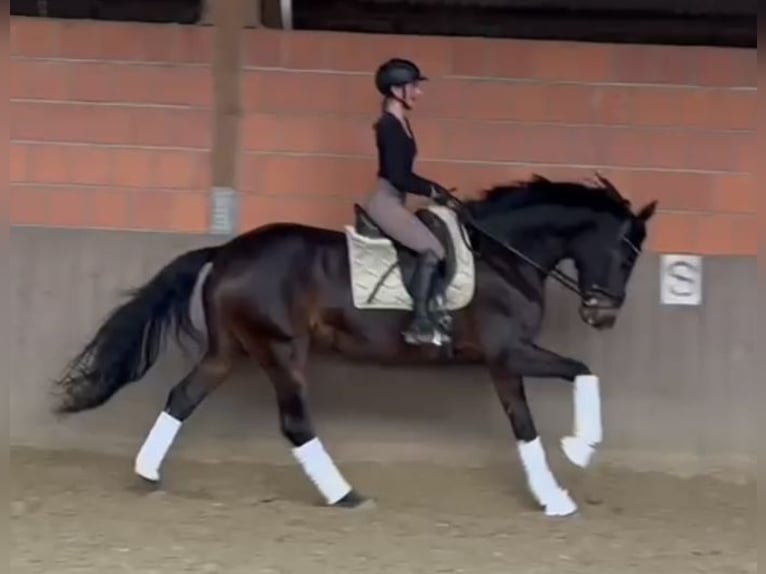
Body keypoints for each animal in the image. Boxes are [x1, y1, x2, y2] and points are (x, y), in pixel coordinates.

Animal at [51, 173, 656, 520]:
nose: (602, 314)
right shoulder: (507, 354)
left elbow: (544, 408)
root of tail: (225, 252)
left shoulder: (506, 360)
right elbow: (567, 384)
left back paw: (149, 475)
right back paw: (345, 495)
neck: (505, 256)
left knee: (181, 397)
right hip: (281, 349)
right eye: (626, 254)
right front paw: (572, 463)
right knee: (295, 423)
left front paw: (559, 484)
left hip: (231, 350)